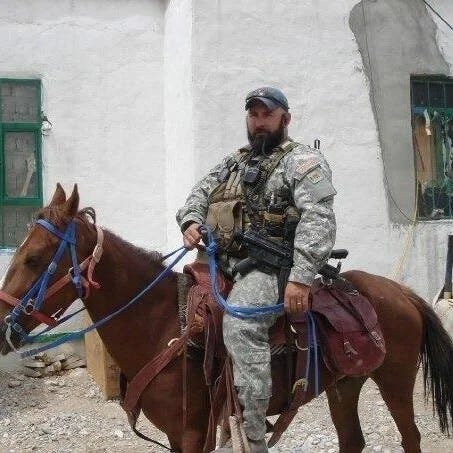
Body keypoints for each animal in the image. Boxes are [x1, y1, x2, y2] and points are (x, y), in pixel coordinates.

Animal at [1, 183, 453, 453]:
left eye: (34, 258)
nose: (4, 324)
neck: (165, 325)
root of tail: (402, 293)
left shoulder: (191, 433)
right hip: (345, 385)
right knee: (353, 440)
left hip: (395, 380)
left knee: (410, 436)